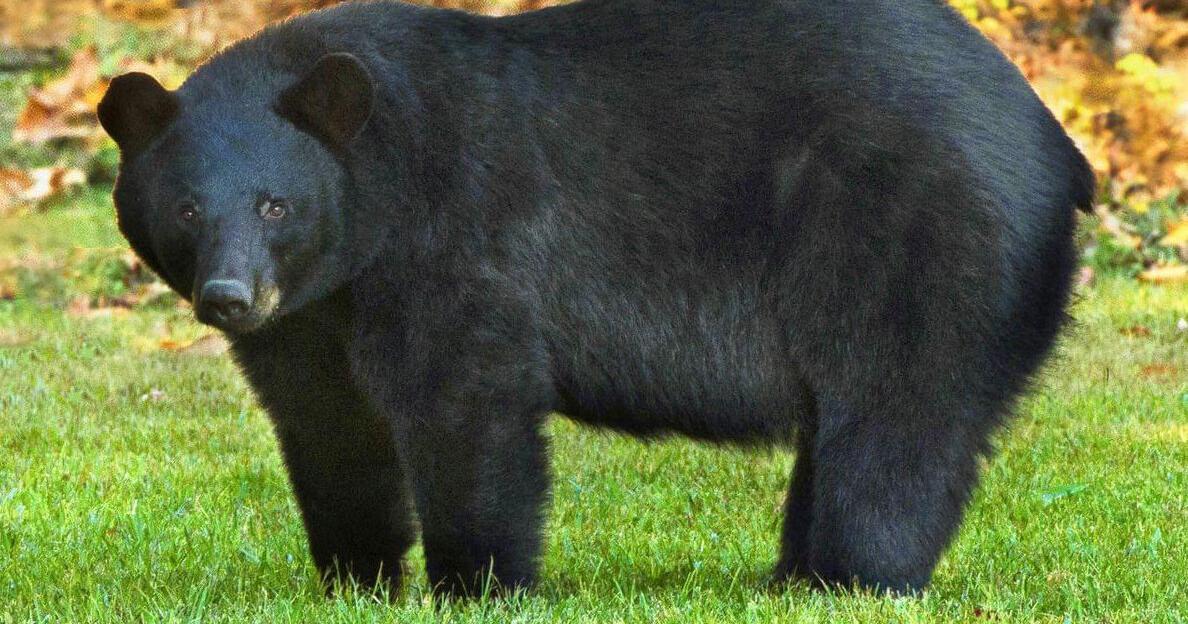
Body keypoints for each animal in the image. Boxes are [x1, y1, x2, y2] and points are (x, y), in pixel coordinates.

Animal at [96, 0, 1093, 598]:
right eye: (187, 208)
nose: (229, 297)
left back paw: (850, 579)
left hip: (921, 232)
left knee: (896, 416)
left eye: (276, 203)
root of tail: (1055, 140)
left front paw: (477, 584)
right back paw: (789, 578)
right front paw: (357, 578)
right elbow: (328, 424)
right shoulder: (313, 315)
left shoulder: (452, 238)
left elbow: (467, 401)